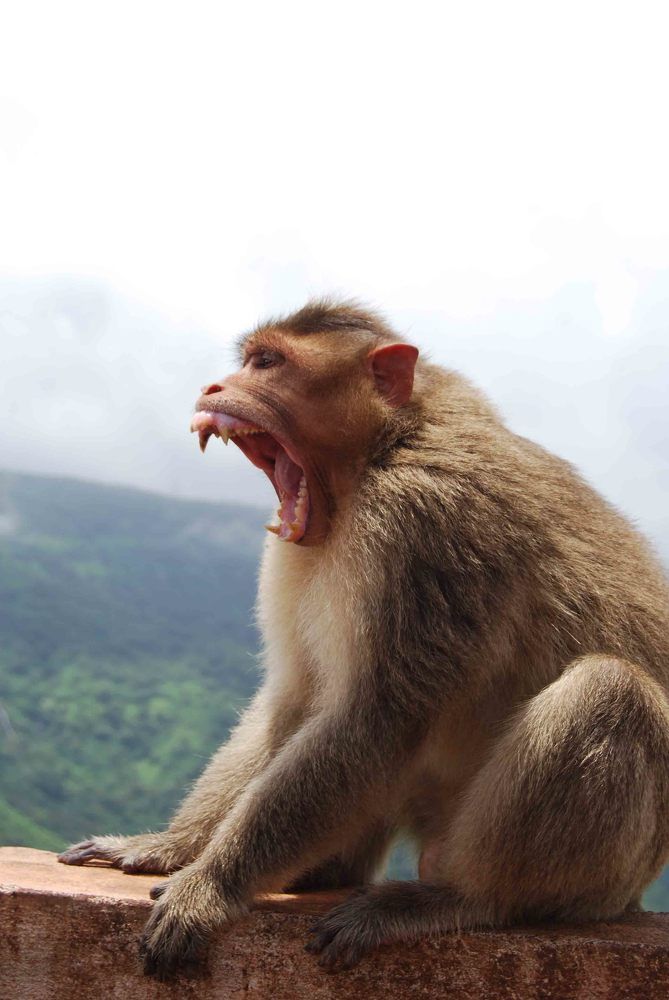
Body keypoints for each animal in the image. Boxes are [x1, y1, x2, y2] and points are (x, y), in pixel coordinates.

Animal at [59, 298, 669, 979]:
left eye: (266, 362)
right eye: (247, 360)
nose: (214, 388)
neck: (384, 448)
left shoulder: (423, 526)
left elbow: (376, 719)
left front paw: (209, 888)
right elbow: (294, 698)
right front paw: (171, 847)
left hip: (612, 876)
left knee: (608, 689)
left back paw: (463, 898)